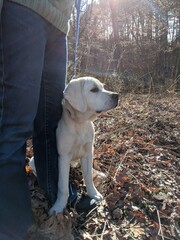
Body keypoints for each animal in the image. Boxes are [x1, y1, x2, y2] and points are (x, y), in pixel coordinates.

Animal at [49, 76, 119, 214]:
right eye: (94, 89)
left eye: (103, 87)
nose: (117, 95)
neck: (80, 124)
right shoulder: (63, 157)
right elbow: (62, 186)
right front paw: (59, 206)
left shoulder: (88, 152)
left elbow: (88, 177)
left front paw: (94, 194)